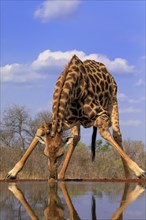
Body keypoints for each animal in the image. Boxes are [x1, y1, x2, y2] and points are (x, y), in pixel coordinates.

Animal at [6, 54, 146, 180]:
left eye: (61, 154)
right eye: (45, 154)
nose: (52, 176)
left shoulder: (101, 114)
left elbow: (105, 133)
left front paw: (139, 171)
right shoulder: (66, 119)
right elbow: (42, 128)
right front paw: (13, 172)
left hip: (113, 102)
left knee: (117, 135)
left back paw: (128, 176)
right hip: (77, 120)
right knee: (76, 138)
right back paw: (62, 175)